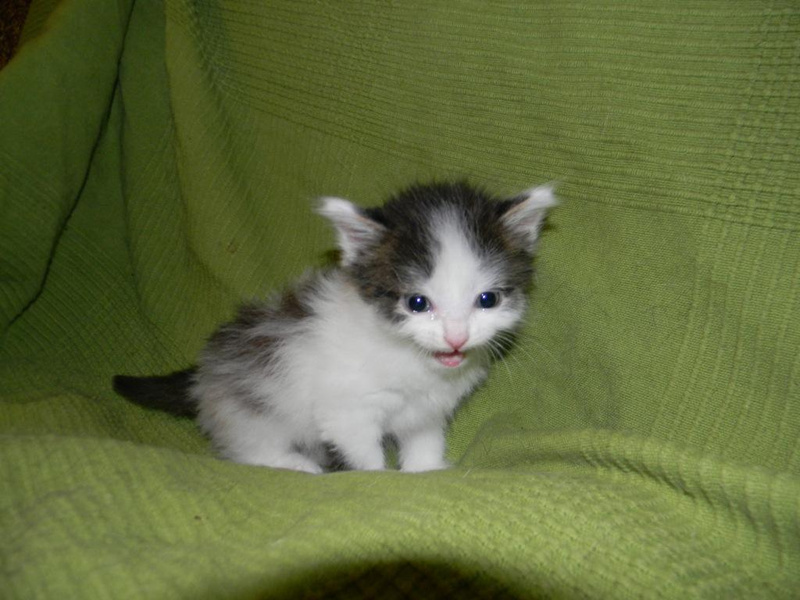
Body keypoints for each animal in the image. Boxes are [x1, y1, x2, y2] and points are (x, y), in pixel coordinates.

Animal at [113, 181, 556, 473]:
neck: (411, 360)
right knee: (247, 446)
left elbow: (424, 439)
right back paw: (294, 464)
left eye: (488, 300)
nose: (456, 337)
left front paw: (425, 471)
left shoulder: (426, 410)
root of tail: (203, 375)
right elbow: (365, 456)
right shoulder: (346, 411)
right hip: (251, 406)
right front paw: (378, 479)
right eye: (417, 303)